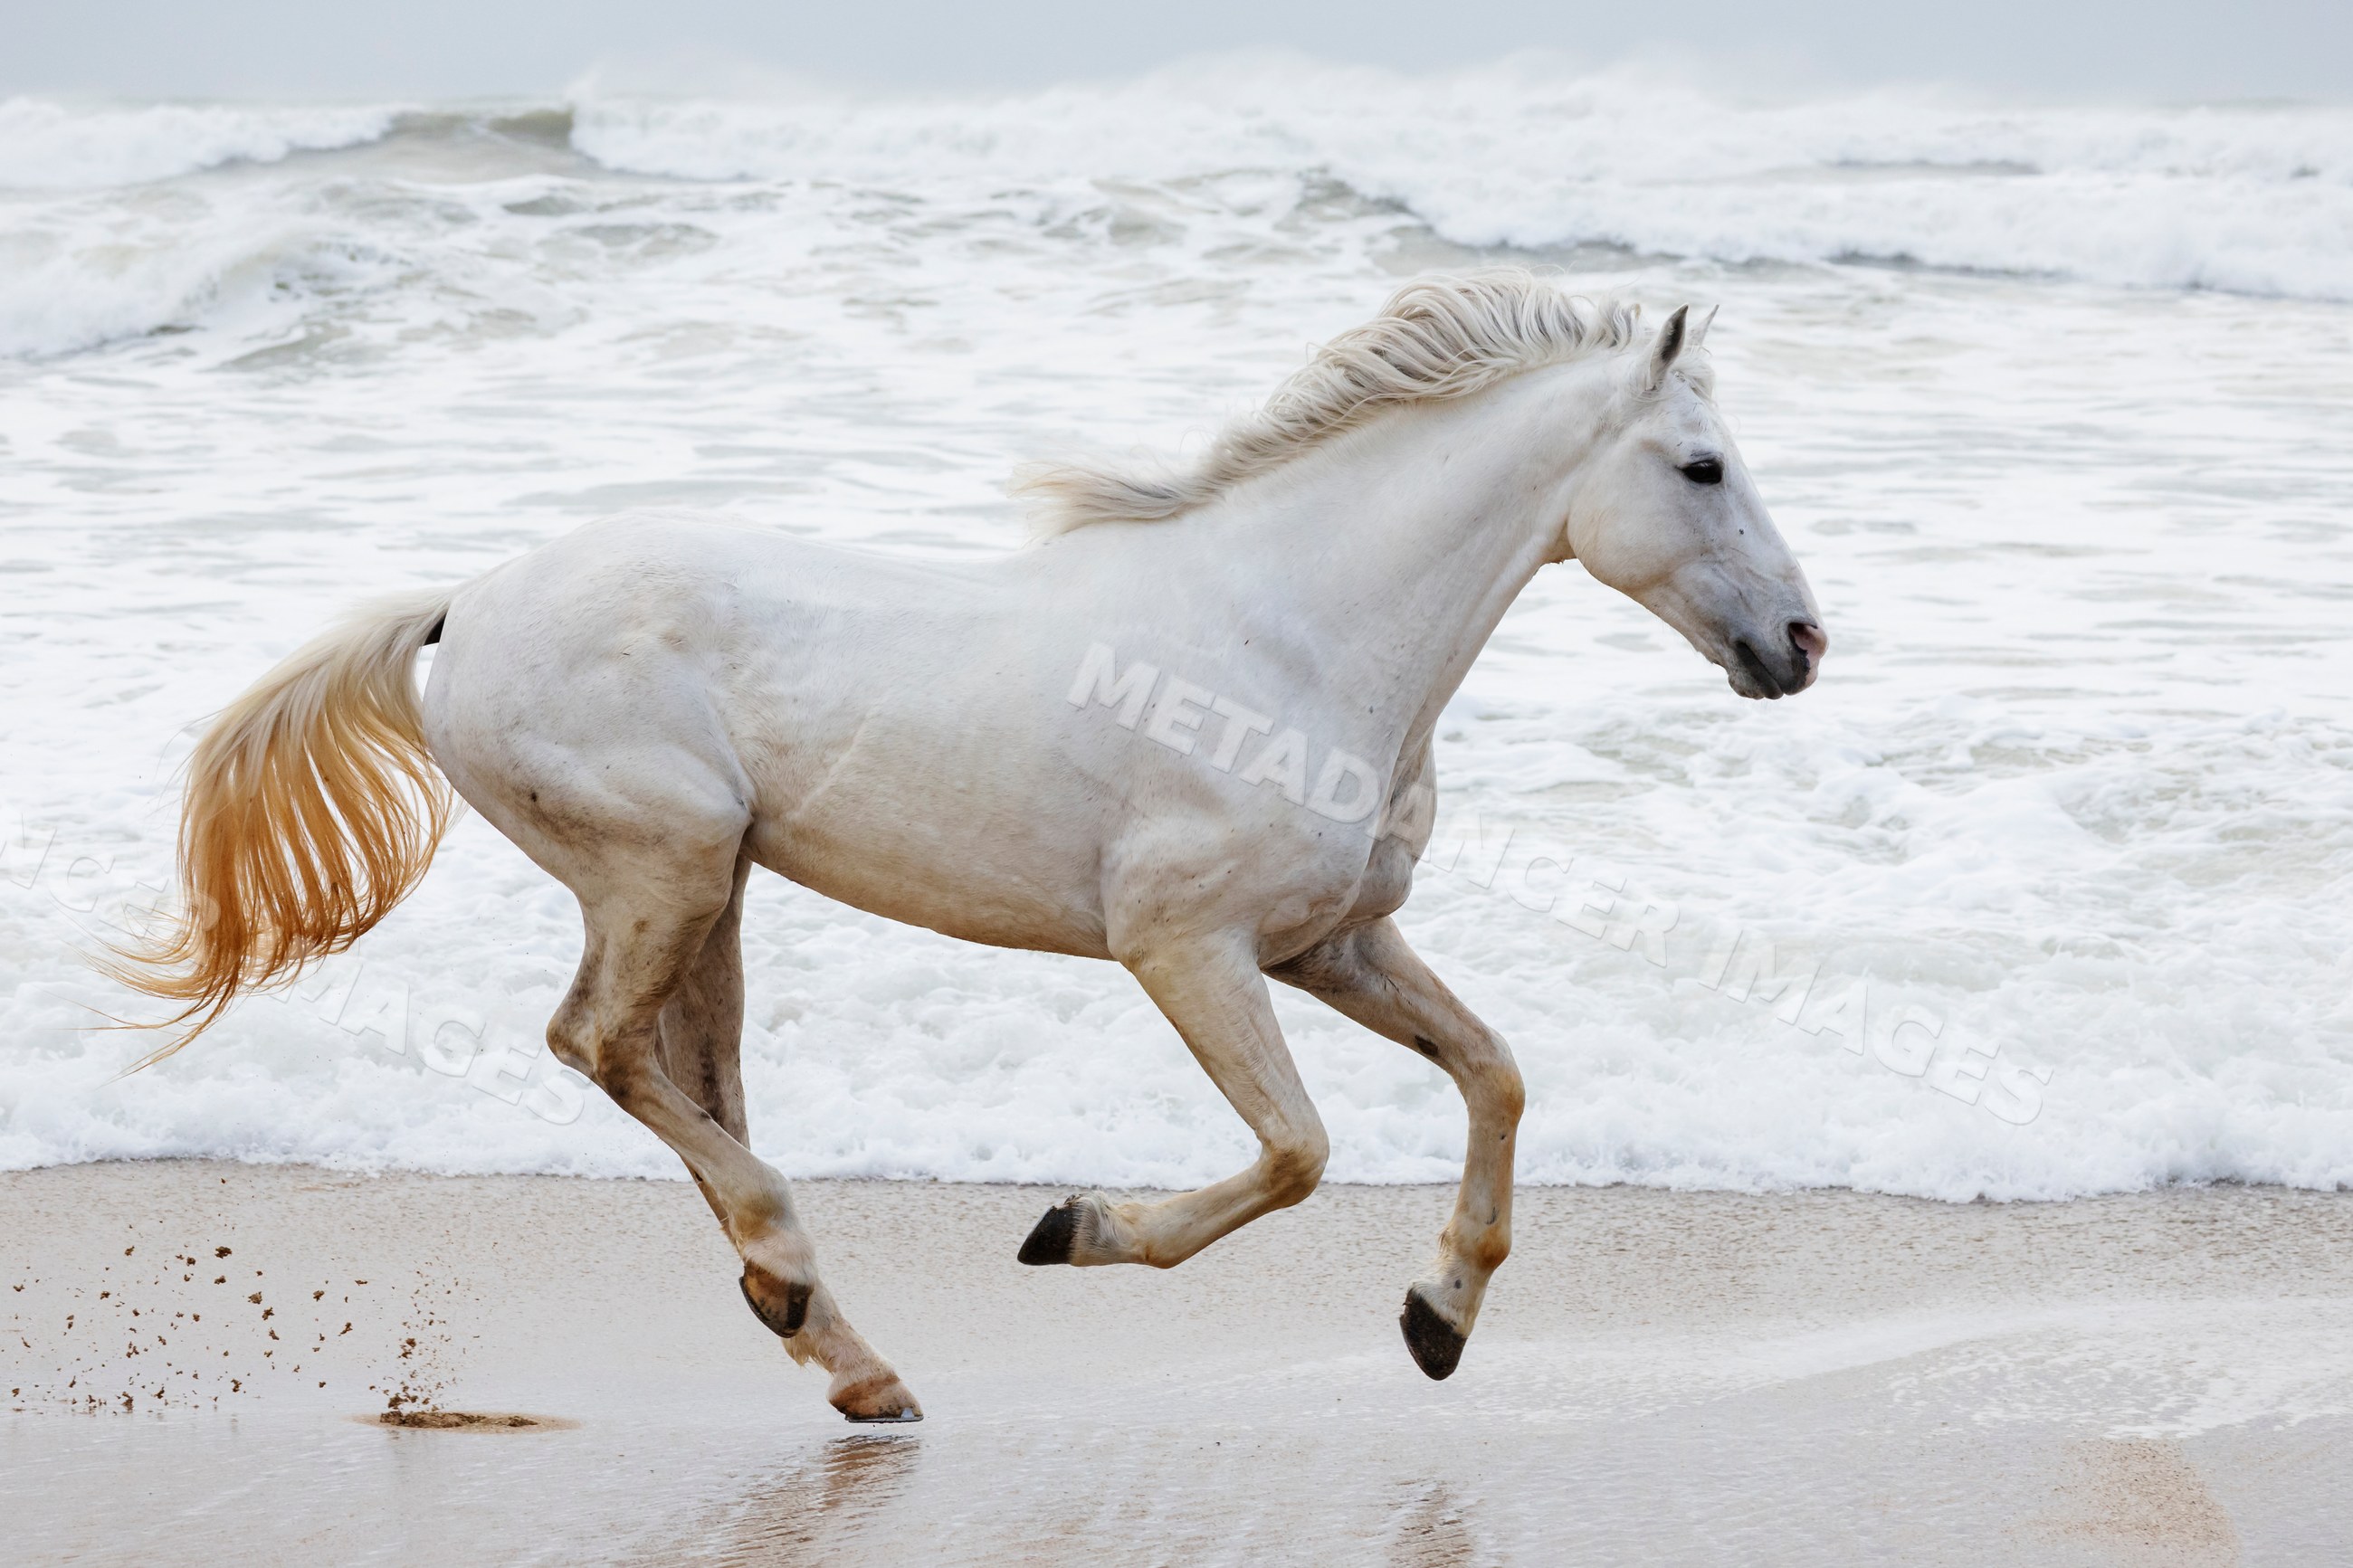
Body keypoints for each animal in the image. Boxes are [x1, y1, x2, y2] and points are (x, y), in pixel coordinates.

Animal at [110, 270, 1826, 1422]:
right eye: (1703, 467)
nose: (1803, 644)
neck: (1293, 641)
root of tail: (462, 605)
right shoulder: (1185, 946)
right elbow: (1297, 1150)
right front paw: (1074, 1230)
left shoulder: (1329, 940)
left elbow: (1496, 1073)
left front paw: (1439, 1317)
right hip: (663, 865)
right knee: (599, 1045)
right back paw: (807, 1291)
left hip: (716, 887)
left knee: (686, 1076)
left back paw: (837, 1345)